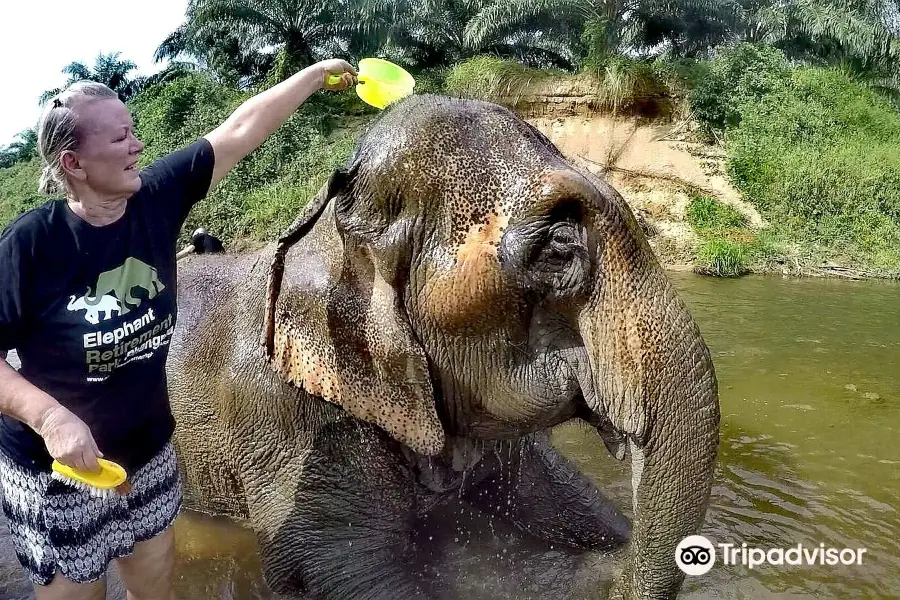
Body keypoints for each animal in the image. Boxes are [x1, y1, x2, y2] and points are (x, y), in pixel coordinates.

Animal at [167, 94, 716, 600]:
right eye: (560, 247)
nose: (611, 580)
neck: (326, 230)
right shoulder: (289, 419)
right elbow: (329, 568)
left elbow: (564, 499)